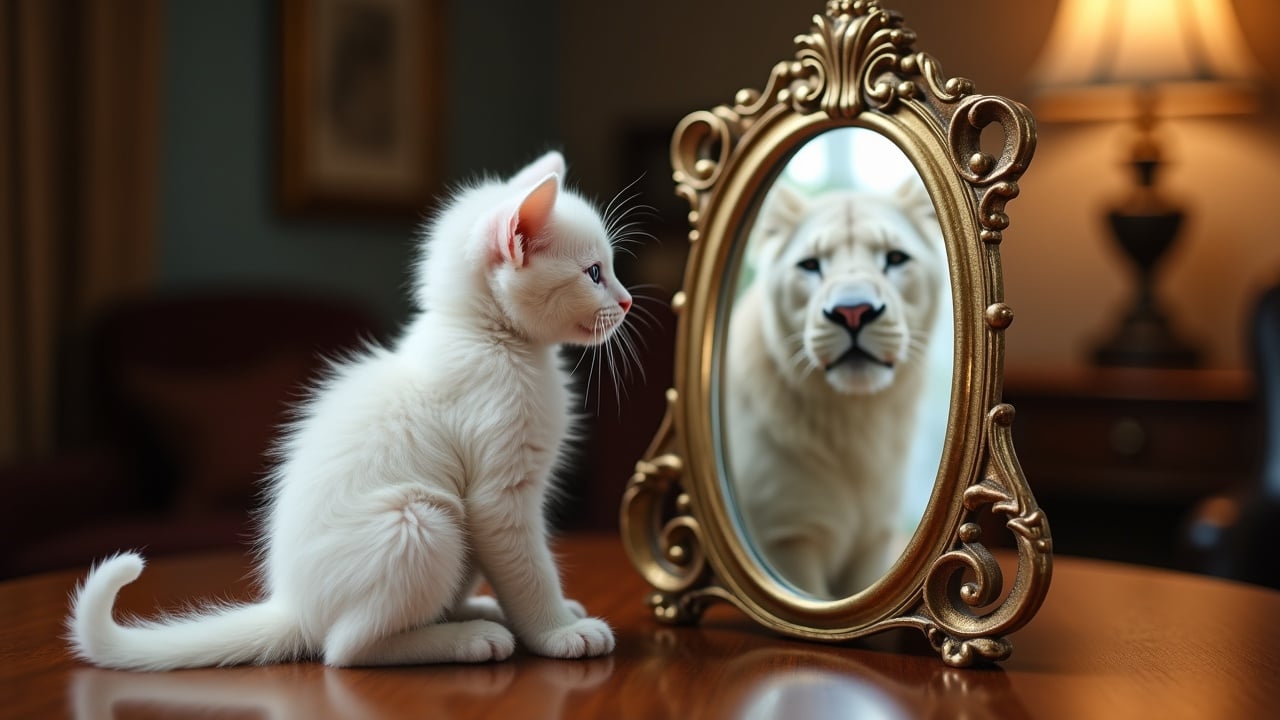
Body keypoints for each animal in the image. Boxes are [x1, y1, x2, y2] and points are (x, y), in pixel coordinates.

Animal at [63, 151, 634, 666]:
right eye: (593, 273)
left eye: (608, 270)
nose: (628, 301)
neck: (489, 337)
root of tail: (296, 609)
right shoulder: (500, 497)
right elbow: (528, 568)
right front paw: (558, 632)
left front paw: (557, 617)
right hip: (423, 519)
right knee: (346, 649)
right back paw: (469, 638)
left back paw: (477, 612)